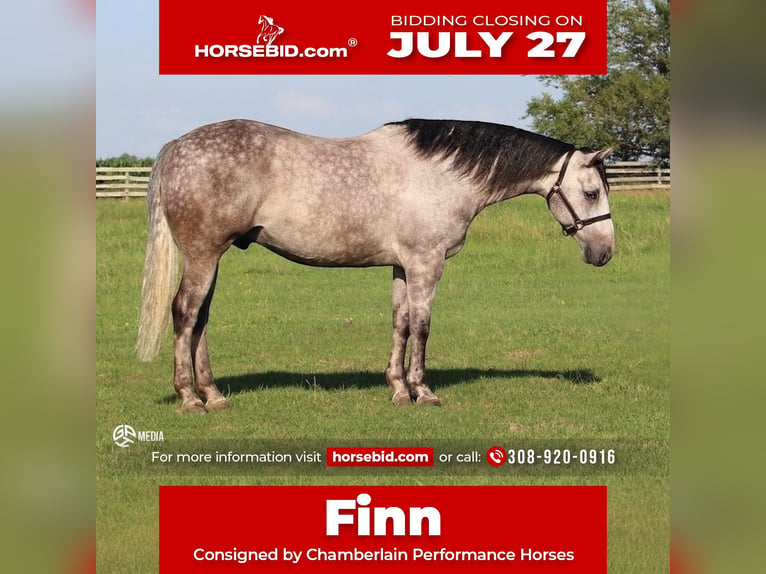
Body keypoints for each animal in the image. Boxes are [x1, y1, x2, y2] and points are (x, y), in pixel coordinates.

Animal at [136, 119, 614, 413]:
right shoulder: (426, 264)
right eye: (591, 192)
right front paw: (423, 391)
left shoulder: (403, 266)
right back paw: (190, 398)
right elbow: (422, 326)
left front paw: (398, 389)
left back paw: (213, 395)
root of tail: (175, 147)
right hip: (202, 256)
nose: (605, 252)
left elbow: (400, 323)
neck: (442, 175)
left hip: (211, 257)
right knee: (185, 314)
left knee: (200, 319)